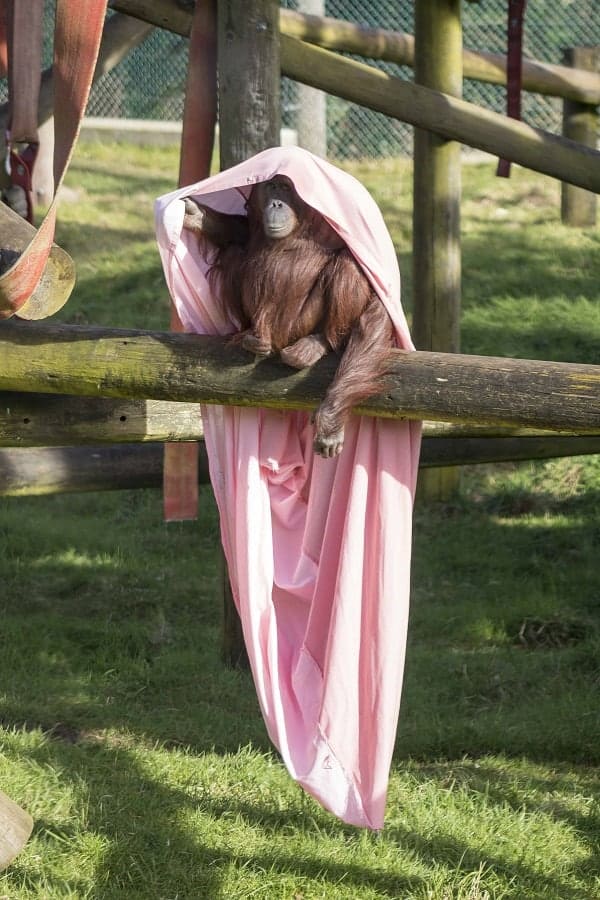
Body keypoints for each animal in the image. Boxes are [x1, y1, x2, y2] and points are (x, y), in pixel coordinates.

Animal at [182, 174, 393, 457]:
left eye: (286, 188)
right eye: (271, 186)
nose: (276, 204)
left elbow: (377, 308)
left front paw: (330, 422)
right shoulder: (254, 223)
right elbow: (241, 231)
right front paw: (196, 214)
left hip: (300, 326)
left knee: (348, 264)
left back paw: (317, 343)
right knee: (235, 250)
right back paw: (253, 337)